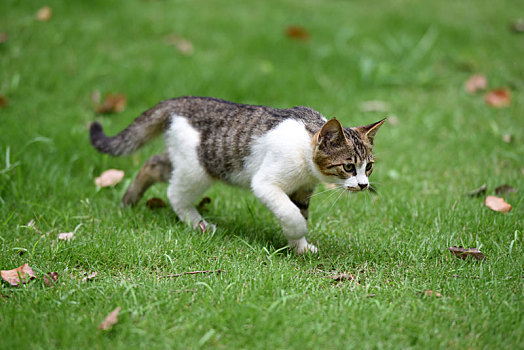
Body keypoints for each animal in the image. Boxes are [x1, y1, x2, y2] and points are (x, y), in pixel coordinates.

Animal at [89, 96, 384, 254]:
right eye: (348, 166)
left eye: (368, 166)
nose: (363, 184)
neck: (304, 150)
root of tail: (178, 102)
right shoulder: (265, 183)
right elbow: (292, 215)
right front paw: (298, 233)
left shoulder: (302, 190)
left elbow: (299, 211)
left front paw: (299, 248)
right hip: (199, 169)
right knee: (174, 192)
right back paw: (198, 223)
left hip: (185, 160)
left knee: (153, 164)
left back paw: (129, 201)